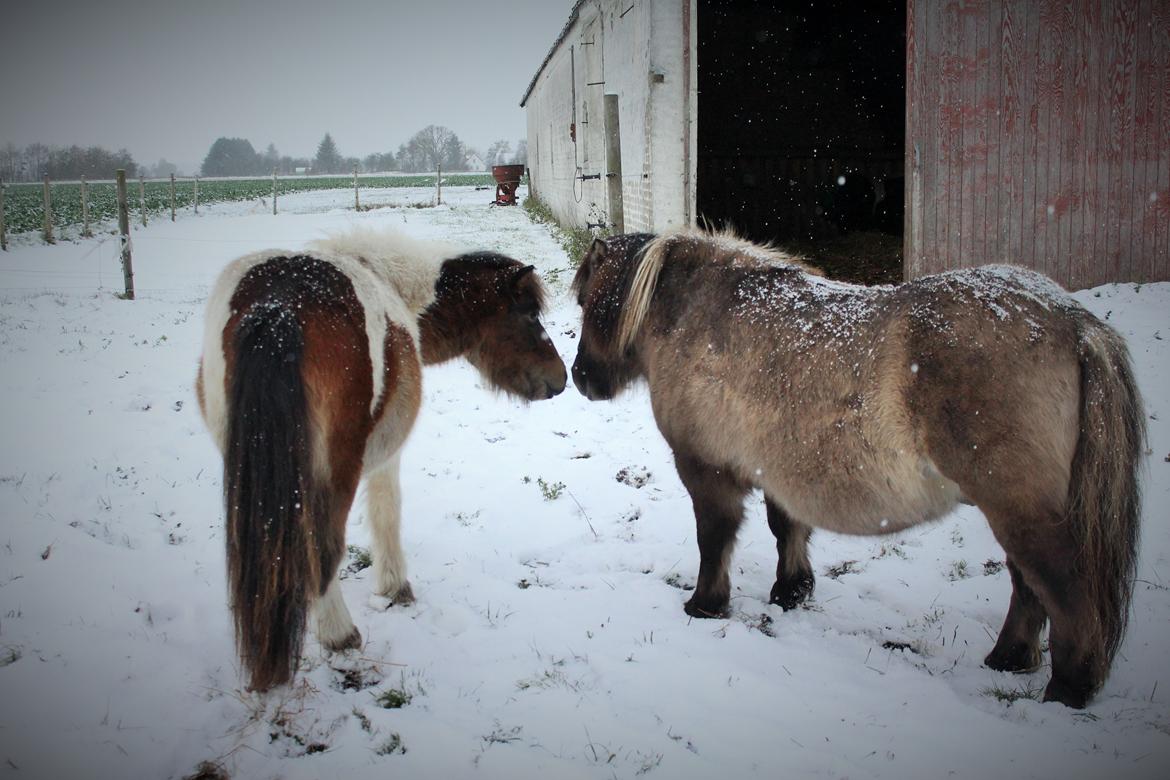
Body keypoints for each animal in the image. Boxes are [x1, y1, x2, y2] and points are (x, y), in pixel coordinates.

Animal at [196, 229, 566, 692]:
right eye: (529, 316)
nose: (561, 378)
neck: (395, 286)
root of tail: (277, 307)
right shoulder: (385, 456)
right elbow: (386, 513)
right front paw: (395, 588)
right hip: (334, 471)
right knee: (321, 548)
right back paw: (339, 635)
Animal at [573, 229, 1141, 711]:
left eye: (584, 303)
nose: (580, 378)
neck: (701, 314)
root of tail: (1074, 322)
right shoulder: (777, 469)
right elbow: (787, 529)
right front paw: (792, 591)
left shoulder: (706, 471)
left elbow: (714, 540)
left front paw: (705, 604)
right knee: (1029, 586)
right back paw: (1008, 660)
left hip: (1022, 511)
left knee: (1064, 591)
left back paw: (1067, 689)